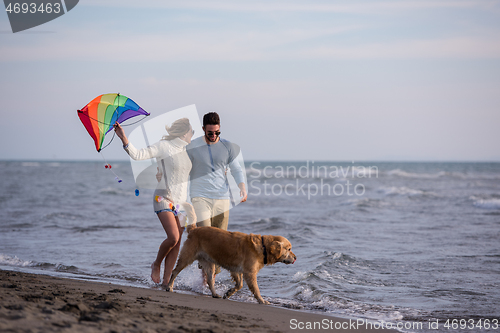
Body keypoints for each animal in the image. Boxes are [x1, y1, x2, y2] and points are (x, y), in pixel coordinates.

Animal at [166, 226, 294, 304]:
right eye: (289, 249)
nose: (295, 258)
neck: (263, 247)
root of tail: (194, 229)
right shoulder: (249, 273)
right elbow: (256, 289)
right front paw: (262, 301)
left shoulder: (236, 270)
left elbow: (240, 285)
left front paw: (228, 293)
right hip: (187, 257)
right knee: (174, 271)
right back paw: (169, 286)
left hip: (209, 264)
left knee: (210, 280)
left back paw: (215, 294)